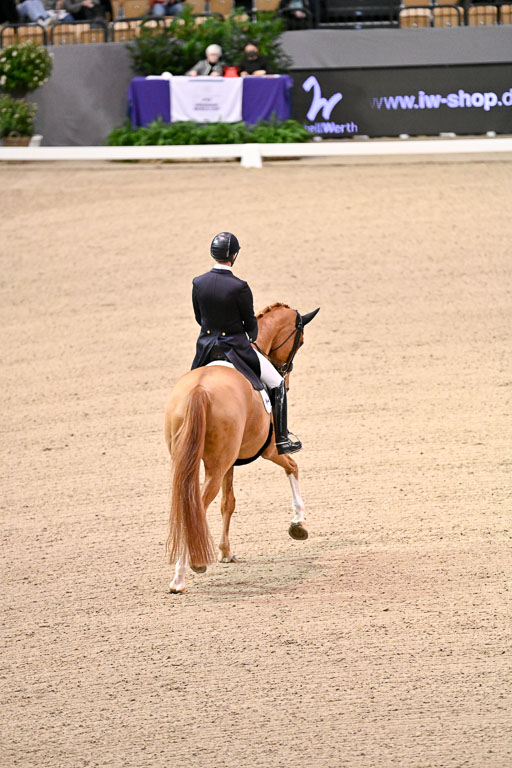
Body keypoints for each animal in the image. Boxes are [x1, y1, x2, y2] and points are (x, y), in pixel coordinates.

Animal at [164, 302, 320, 593]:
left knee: (185, 505)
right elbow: (293, 466)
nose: (286, 380)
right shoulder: (270, 450)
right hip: (218, 464)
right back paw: (183, 575)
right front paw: (298, 523)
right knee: (196, 507)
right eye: (301, 341)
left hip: (190, 461)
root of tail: (199, 390)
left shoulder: (229, 463)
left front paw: (226, 552)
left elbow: (228, 502)